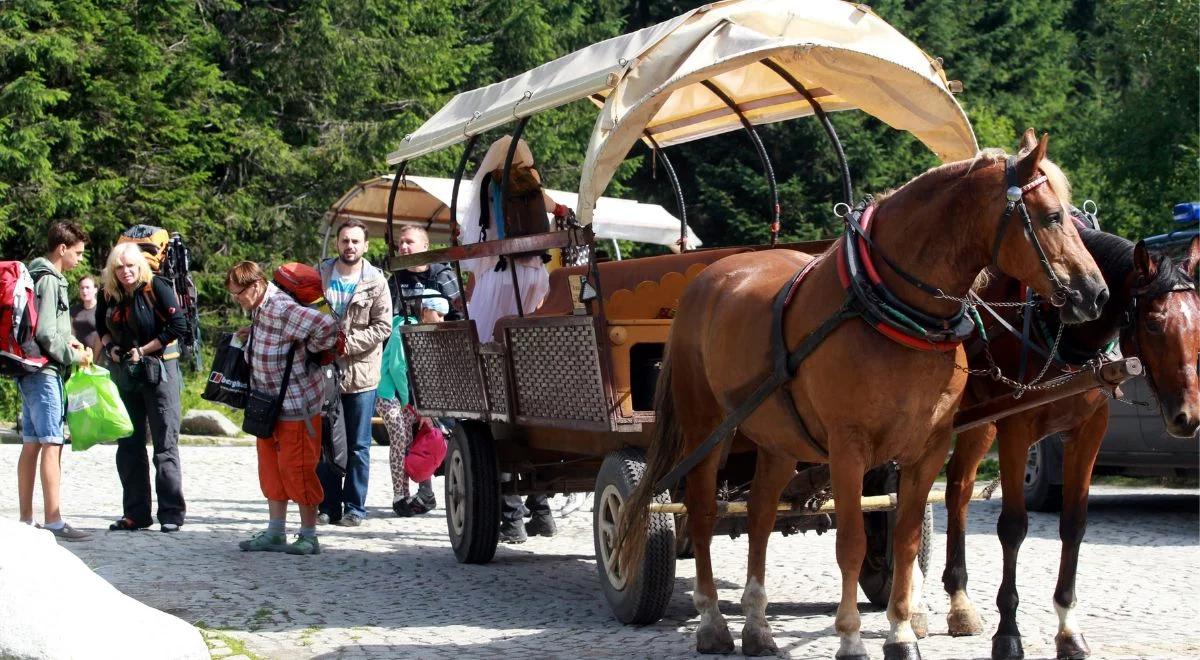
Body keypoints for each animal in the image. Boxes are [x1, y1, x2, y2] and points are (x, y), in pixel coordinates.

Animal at [619, 130, 1104, 660]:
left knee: (760, 515)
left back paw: (757, 625)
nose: (1094, 293)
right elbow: (850, 543)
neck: (887, 310)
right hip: (706, 431)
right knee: (703, 514)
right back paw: (712, 621)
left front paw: (901, 631)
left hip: (778, 442)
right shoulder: (847, 447)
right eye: (1053, 216)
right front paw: (851, 637)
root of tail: (707, 279)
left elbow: (906, 542)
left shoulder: (927, 449)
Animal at [940, 229, 1195, 660]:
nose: (1188, 416)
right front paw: (1008, 632)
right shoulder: (1016, 428)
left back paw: (959, 602)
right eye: (1154, 323)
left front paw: (1068, 627)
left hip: (980, 422)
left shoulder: (1088, 431)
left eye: (1199, 323)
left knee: (957, 489)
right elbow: (1013, 527)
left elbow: (1074, 525)